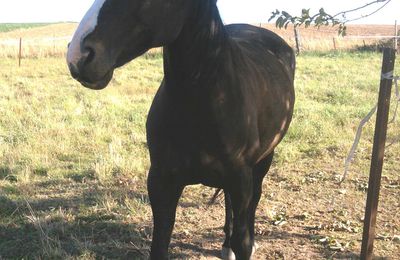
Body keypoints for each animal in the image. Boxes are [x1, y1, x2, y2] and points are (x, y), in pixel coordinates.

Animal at [67, 1, 296, 258]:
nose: (78, 55)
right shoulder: (161, 181)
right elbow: (159, 244)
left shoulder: (241, 178)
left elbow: (243, 240)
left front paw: (244, 243)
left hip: (263, 161)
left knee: (253, 201)